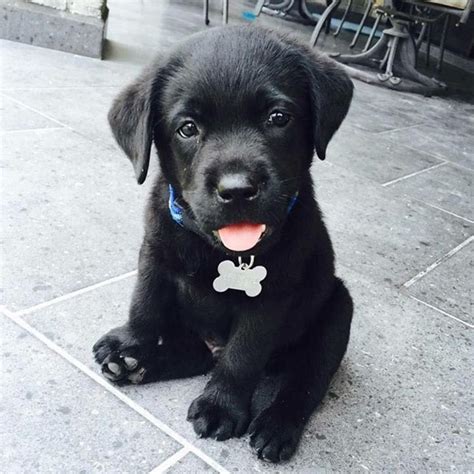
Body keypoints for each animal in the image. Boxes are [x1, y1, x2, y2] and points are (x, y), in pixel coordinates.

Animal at [92, 25, 354, 462]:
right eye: (187, 128)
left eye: (278, 118)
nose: (237, 190)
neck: (218, 251)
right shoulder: (154, 253)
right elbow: (144, 302)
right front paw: (129, 343)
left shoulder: (271, 298)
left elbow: (242, 356)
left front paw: (221, 407)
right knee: (195, 356)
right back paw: (136, 364)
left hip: (337, 312)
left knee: (306, 381)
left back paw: (276, 425)